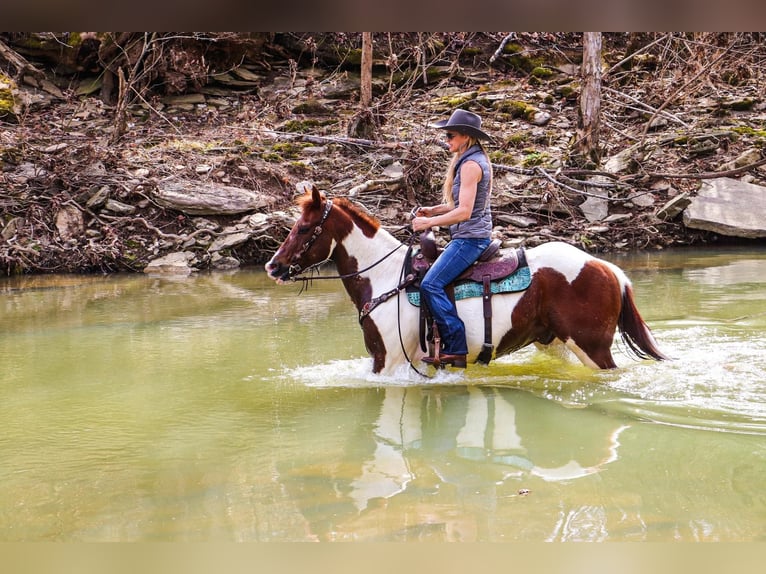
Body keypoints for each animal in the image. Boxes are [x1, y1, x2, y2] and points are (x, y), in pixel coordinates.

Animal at [268, 183, 668, 374]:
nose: (273, 266)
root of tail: (608, 269)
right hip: (555, 343)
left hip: (592, 348)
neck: (383, 277)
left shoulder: (390, 361)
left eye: (304, 228)